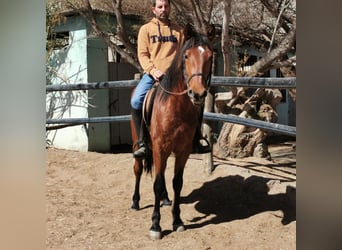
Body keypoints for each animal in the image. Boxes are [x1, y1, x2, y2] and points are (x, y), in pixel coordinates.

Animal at [130, 30, 212, 239]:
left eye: (210, 56)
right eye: (186, 56)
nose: (198, 93)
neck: (176, 108)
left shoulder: (183, 150)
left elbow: (177, 182)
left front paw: (177, 221)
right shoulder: (160, 148)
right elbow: (157, 184)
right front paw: (155, 225)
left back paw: (166, 199)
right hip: (141, 144)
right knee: (138, 169)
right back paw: (135, 202)